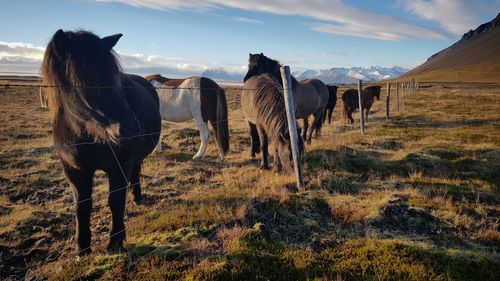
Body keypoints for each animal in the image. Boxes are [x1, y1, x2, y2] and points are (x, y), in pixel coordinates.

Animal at [42, 29, 162, 255]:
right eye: (83, 79)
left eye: (114, 75)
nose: (132, 129)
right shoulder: (74, 170)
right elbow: (82, 206)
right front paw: (82, 248)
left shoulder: (119, 165)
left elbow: (116, 201)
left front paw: (116, 241)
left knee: (136, 170)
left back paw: (137, 196)